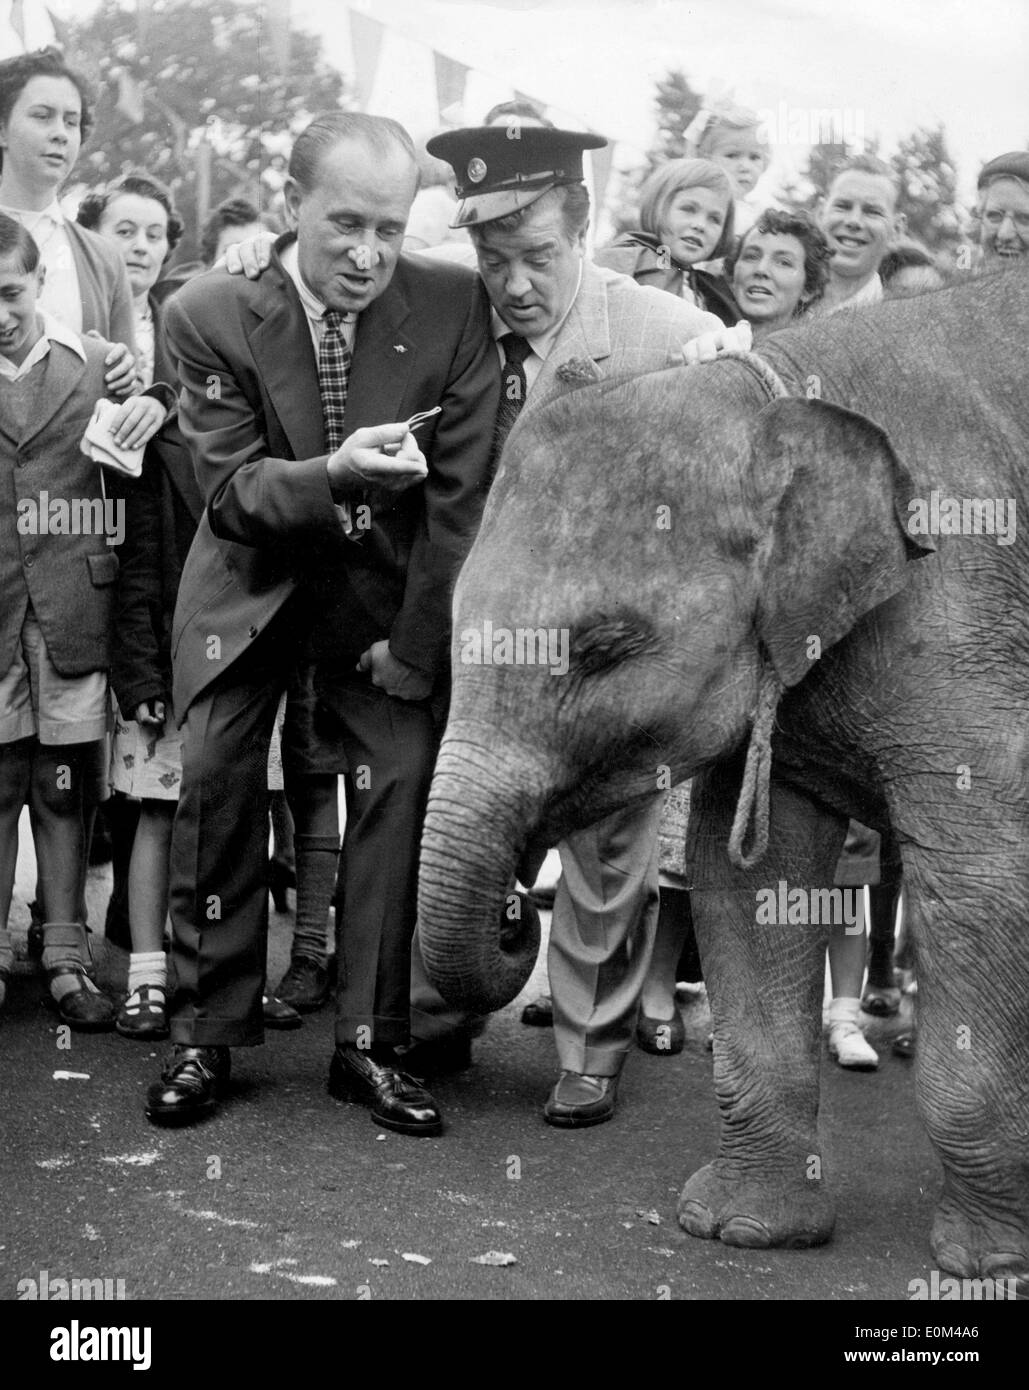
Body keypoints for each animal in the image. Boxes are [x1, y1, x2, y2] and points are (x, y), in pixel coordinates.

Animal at [417, 265, 1029, 1284]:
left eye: (604, 646)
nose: (515, 911)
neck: (776, 395)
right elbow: (747, 882)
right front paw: (741, 1230)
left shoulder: (966, 626)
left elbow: (987, 888)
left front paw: (987, 1267)